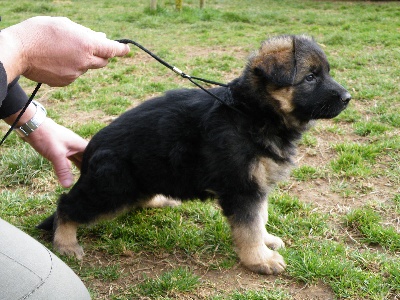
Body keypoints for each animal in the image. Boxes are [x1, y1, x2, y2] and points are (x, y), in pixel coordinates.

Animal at [37, 34, 350, 274]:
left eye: (326, 72)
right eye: (310, 77)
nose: (348, 98)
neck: (250, 112)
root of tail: (91, 150)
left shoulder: (256, 186)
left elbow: (259, 217)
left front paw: (266, 240)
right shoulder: (242, 187)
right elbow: (248, 226)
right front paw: (260, 259)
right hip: (111, 188)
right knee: (66, 204)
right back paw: (65, 243)